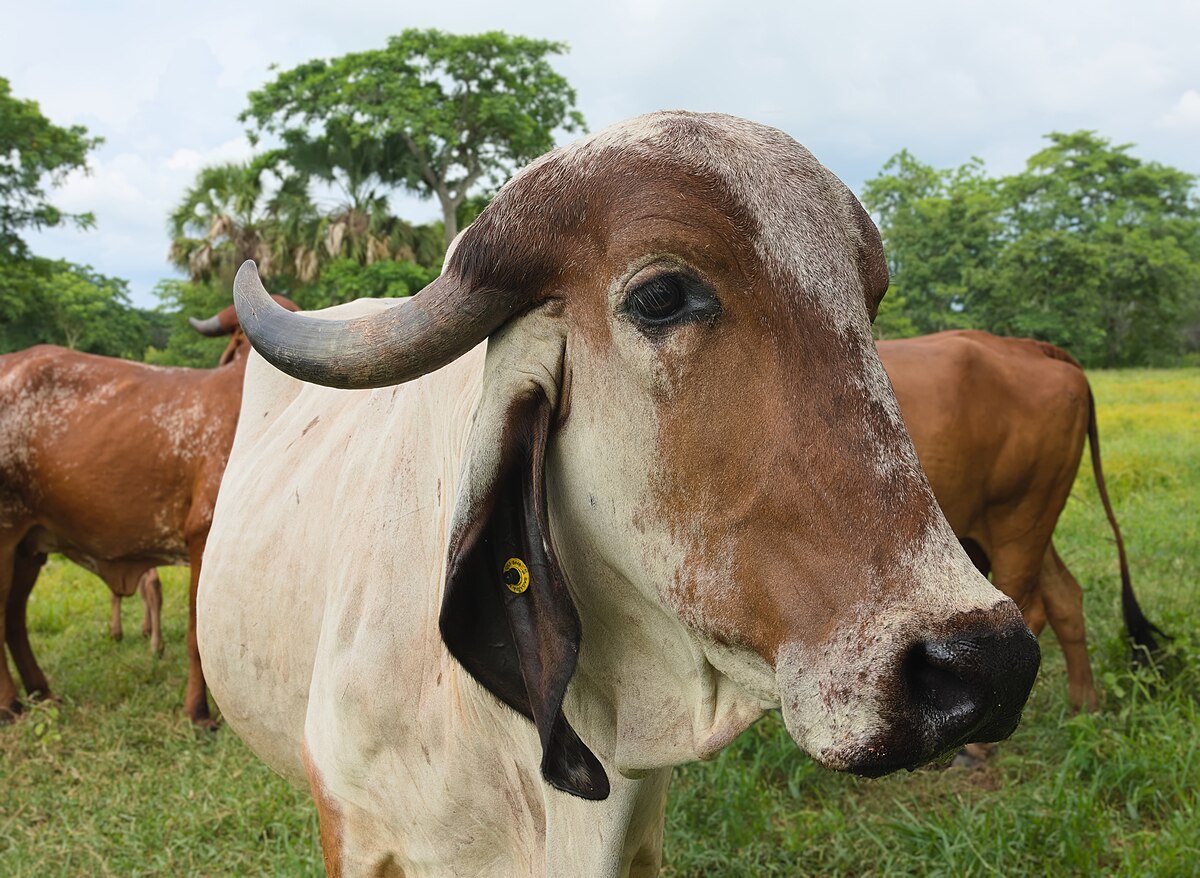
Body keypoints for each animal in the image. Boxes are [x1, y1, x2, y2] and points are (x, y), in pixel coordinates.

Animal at [0, 294, 298, 725]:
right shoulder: (202, 536)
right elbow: (195, 635)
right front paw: (197, 711)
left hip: (30, 544)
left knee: (13, 617)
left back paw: (42, 692)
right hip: (5, 531)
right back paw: (10, 704)